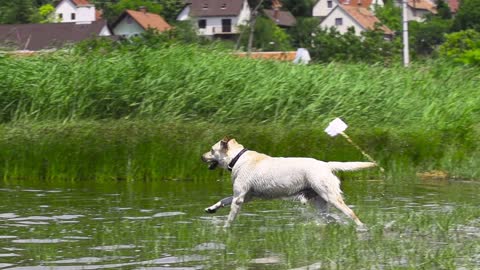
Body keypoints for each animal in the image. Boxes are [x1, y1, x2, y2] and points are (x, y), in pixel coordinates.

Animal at [201, 137, 376, 228]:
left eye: (211, 150)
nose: (201, 157)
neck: (238, 158)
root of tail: (326, 165)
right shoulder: (245, 196)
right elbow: (223, 200)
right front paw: (211, 208)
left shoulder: (239, 198)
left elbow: (230, 217)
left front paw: (225, 229)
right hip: (320, 201)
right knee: (329, 218)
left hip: (331, 196)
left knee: (351, 214)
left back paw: (362, 229)